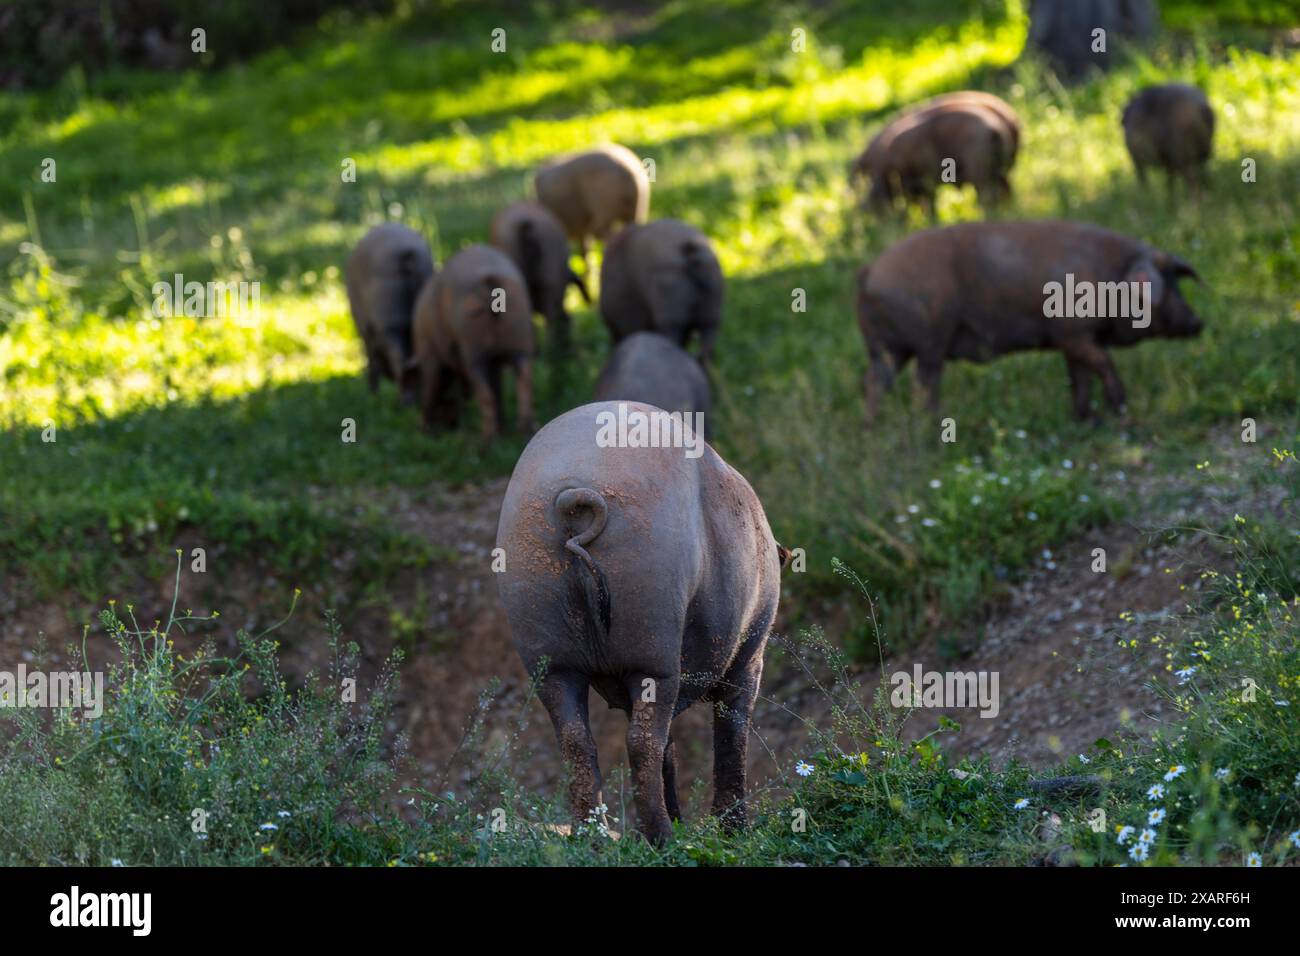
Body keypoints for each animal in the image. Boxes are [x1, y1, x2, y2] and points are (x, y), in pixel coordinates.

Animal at [343, 222, 434, 403]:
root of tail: (405, 255)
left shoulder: (365, 328)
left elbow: (371, 358)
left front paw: (374, 395)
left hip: (387, 313)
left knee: (396, 356)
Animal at [408, 244, 535, 442]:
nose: (451, 424)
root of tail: (491, 277)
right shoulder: (494, 362)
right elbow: (497, 388)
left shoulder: (429, 354)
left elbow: (431, 388)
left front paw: (427, 432)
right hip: (519, 338)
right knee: (524, 382)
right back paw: (524, 431)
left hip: (474, 349)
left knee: (484, 394)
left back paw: (485, 442)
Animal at [491, 403, 785, 842]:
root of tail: (576, 495)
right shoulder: (750, 657)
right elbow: (731, 735)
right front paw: (733, 832)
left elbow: (670, 749)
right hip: (654, 642)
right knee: (643, 742)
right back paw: (662, 838)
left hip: (548, 652)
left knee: (577, 742)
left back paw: (594, 840)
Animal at [852, 223, 1206, 421]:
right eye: (1165, 285)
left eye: (1177, 282)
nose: (1198, 321)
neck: (1111, 277)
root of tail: (869, 270)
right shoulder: (1073, 333)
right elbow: (1103, 365)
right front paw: (1120, 410)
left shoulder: (1071, 340)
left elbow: (1079, 377)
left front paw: (1086, 418)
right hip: (928, 341)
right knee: (922, 385)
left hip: (889, 348)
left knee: (874, 382)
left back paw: (874, 428)